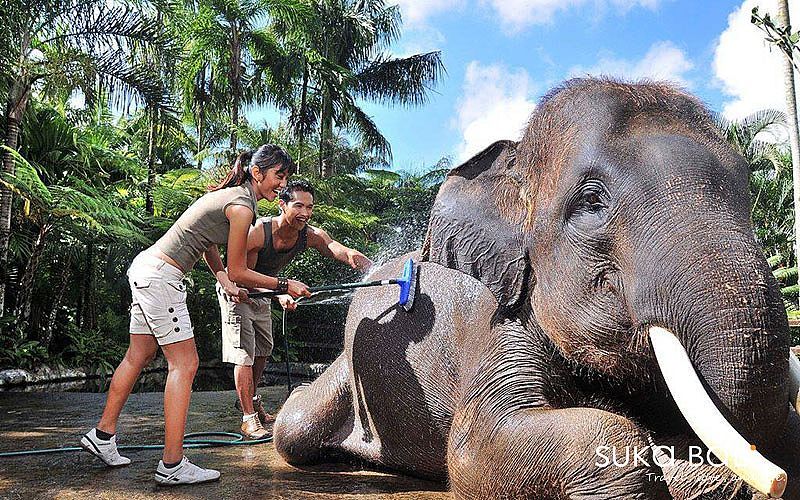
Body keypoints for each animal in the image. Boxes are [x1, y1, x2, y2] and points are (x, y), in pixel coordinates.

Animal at [273, 78, 800, 499]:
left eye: (747, 188)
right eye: (590, 202)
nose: (774, 481)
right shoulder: (499, 322)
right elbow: (473, 447)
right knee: (294, 426)